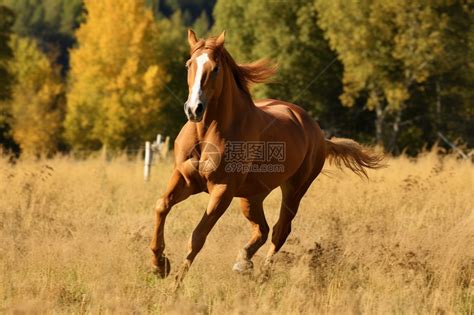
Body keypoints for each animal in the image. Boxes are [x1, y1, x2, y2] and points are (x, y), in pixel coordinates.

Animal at [150, 30, 384, 286]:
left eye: (216, 68)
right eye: (188, 64)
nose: (194, 109)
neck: (207, 133)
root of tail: (319, 135)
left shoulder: (222, 190)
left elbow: (198, 235)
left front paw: (175, 284)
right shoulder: (185, 178)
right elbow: (161, 206)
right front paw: (159, 264)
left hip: (294, 190)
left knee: (280, 230)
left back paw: (261, 273)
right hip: (252, 197)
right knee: (261, 229)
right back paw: (243, 262)